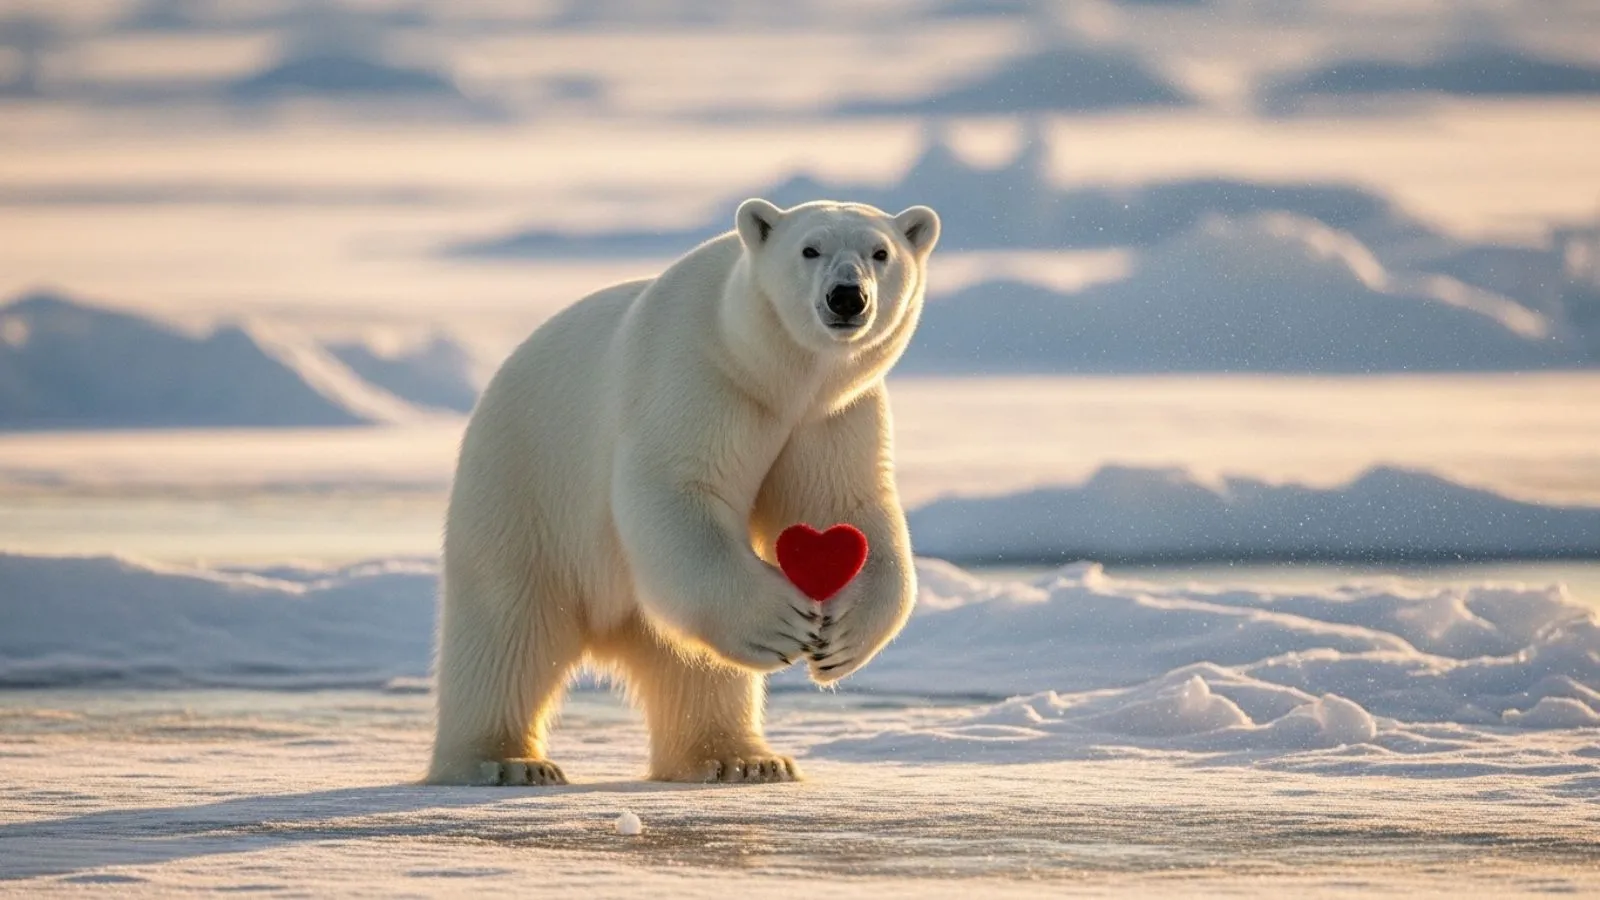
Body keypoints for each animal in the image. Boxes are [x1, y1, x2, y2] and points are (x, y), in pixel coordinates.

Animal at [427, 198, 940, 785]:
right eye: (810, 249)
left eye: (880, 252)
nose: (847, 296)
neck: (773, 374)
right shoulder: (698, 377)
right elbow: (679, 487)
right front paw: (785, 622)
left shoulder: (832, 414)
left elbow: (845, 509)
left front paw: (842, 639)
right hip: (522, 485)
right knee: (507, 630)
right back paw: (505, 761)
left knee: (699, 671)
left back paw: (743, 759)